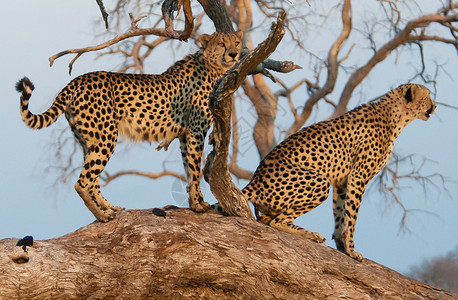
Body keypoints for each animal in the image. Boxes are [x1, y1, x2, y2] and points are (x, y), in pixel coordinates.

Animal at [15, 31, 243, 223]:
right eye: (221, 44)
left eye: (237, 42)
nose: (234, 54)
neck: (212, 66)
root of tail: (77, 80)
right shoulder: (195, 132)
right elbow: (195, 170)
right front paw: (197, 204)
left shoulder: (184, 135)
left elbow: (188, 168)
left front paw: (195, 201)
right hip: (106, 137)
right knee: (83, 182)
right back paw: (102, 215)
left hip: (89, 140)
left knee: (93, 180)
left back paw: (109, 208)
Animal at [242, 84, 434, 260]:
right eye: (428, 96)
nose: (435, 106)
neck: (395, 117)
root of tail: (254, 180)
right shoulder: (358, 177)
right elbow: (352, 216)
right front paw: (352, 250)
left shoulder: (343, 181)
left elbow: (341, 214)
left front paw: (343, 248)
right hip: (319, 182)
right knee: (277, 221)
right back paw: (311, 234)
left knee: (266, 219)